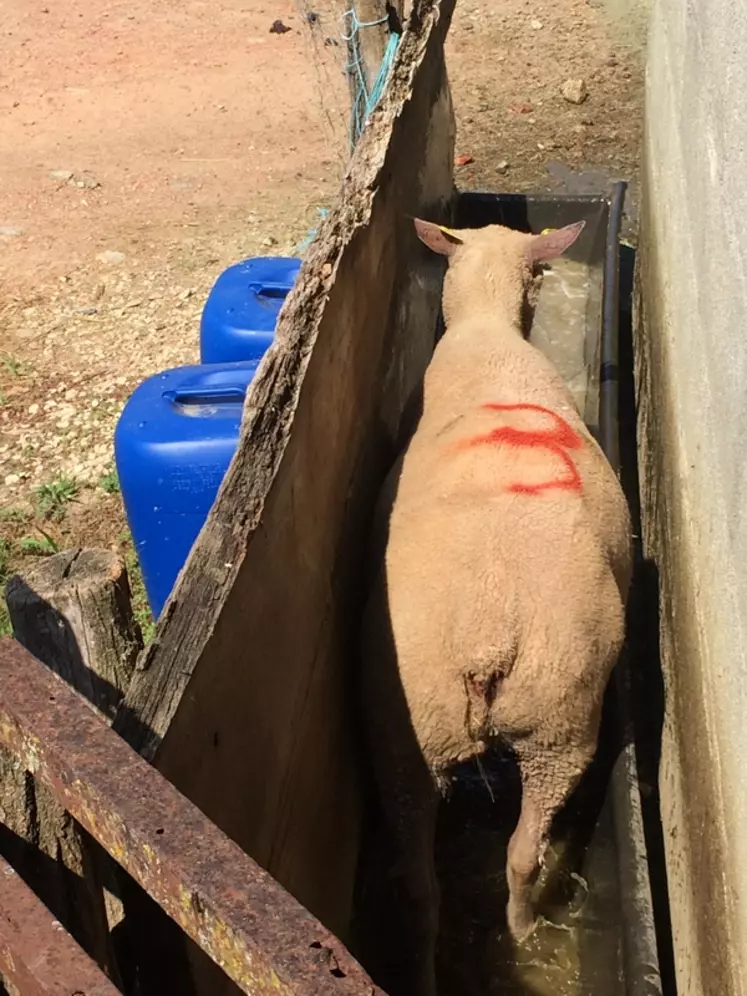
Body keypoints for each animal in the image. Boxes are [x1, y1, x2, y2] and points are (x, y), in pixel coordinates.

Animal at [360, 218, 632, 996]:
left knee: (429, 882)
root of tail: (487, 638)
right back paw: (521, 927)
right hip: (554, 727)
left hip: (416, 736)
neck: (484, 325)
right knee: (517, 853)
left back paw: (455, 957)